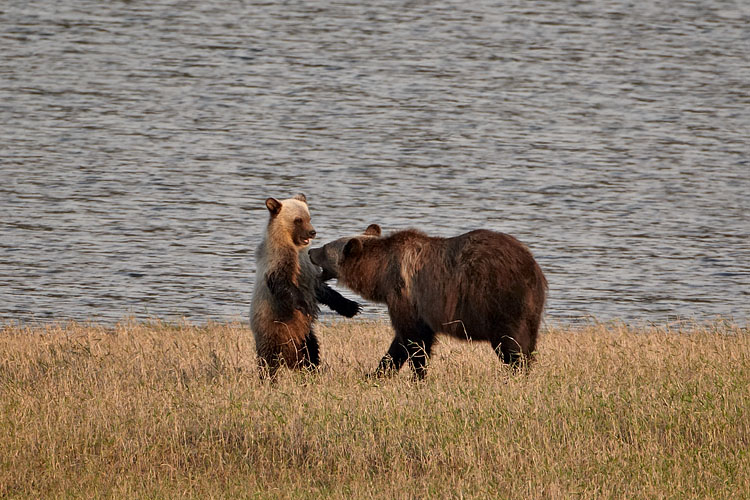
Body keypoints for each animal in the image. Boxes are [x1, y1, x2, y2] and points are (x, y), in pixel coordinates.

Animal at [250, 193, 361, 378]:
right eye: (298, 220)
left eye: (309, 217)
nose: (312, 232)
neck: (294, 245)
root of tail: (288, 354)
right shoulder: (278, 259)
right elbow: (283, 284)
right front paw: (304, 305)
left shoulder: (308, 267)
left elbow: (321, 289)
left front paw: (351, 306)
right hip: (270, 328)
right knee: (267, 360)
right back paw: (268, 379)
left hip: (306, 336)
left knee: (311, 354)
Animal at [309, 224, 547, 379]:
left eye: (325, 248)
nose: (311, 250)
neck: (380, 272)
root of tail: (532, 267)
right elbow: (404, 340)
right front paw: (377, 372)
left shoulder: (406, 294)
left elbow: (413, 339)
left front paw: (417, 374)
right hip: (530, 309)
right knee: (528, 342)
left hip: (499, 298)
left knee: (510, 343)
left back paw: (514, 371)